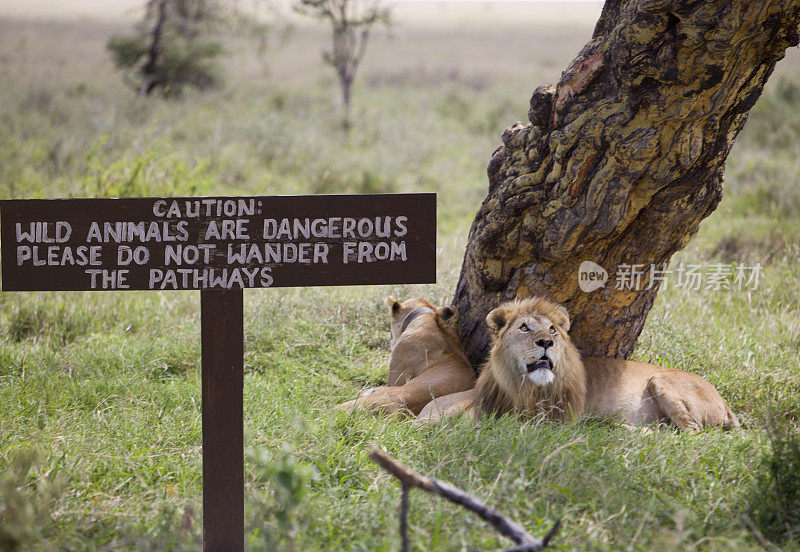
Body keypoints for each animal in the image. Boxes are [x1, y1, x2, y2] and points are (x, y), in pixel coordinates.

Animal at [422, 296, 740, 430]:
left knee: (690, 432)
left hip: (660, 380)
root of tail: (724, 403)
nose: (546, 343)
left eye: (552, 330)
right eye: (524, 328)